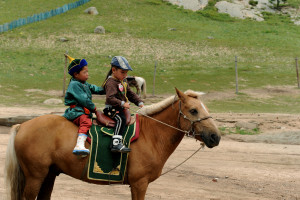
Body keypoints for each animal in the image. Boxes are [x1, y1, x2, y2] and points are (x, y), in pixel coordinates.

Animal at [4, 88, 220, 199]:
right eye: (193, 110)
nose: (215, 137)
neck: (151, 135)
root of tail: (22, 126)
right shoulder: (139, 184)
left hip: (48, 175)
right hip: (35, 176)